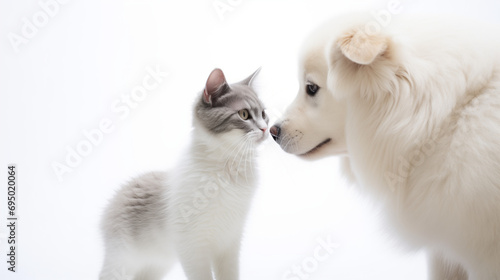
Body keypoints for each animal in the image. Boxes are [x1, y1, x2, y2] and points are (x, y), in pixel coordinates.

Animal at [98, 68, 270, 280]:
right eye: (244, 114)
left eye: (263, 114)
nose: (266, 128)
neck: (228, 168)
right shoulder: (193, 247)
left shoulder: (230, 243)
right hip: (124, 261)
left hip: (157, 265)